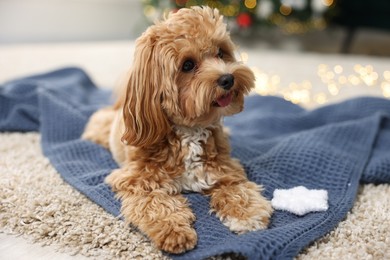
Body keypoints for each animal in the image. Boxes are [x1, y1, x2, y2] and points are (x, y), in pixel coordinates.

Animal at [82, 6, 272, 254]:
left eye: (221, 53)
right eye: (187, 65)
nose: (228, 78)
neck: (189, 131)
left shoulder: (225, 169)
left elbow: (238, 190)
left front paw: (247, 214)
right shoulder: (136, 180)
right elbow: (155, 204)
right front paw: (173, 230)